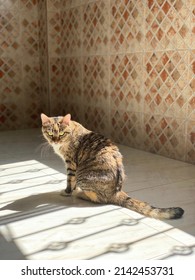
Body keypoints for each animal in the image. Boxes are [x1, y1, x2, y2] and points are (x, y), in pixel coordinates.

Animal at [40, 112, 184, 220]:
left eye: (61, 133)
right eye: (50, 133)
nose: (55, 141)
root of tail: (117, 191)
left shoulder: (71, 163)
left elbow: (70, 180)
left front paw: (67, 192)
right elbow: (72, 182)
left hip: (84, 176)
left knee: (100, 199)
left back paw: (81, 194)